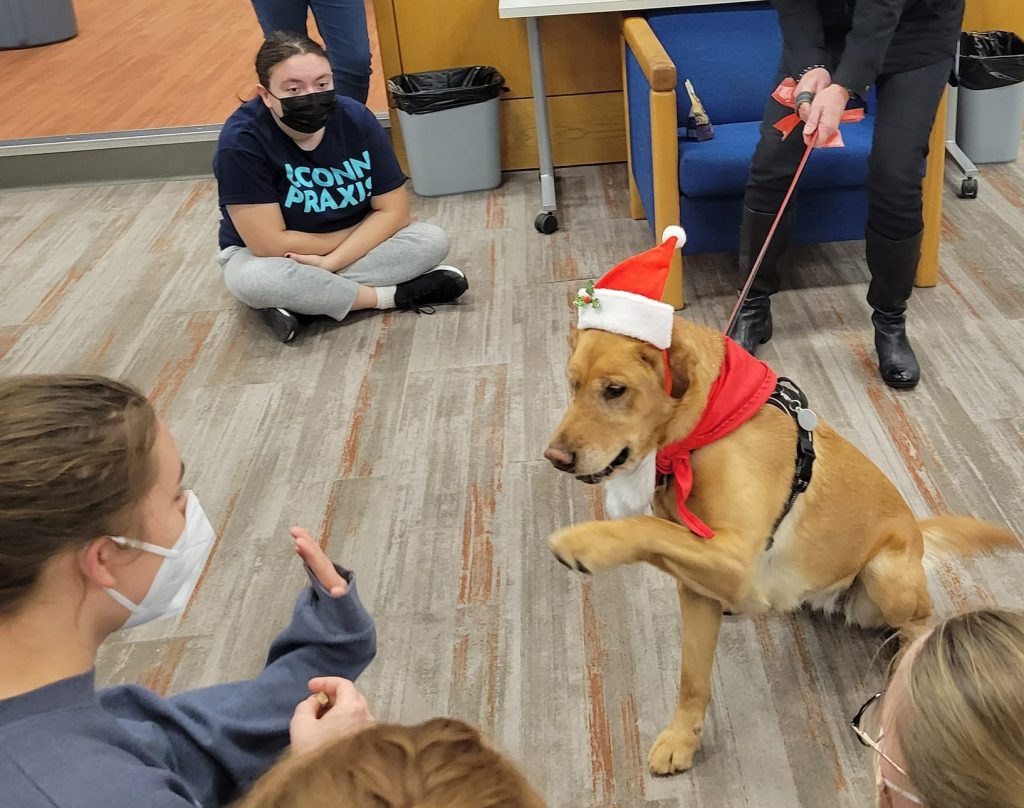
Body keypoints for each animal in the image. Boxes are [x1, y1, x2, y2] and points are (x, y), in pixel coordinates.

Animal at [544, 315, 1015, 774]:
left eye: (615, 390)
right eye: (572, 384)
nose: (555, 458)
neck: (709, 426)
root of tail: (916, 530)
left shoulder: (736, 559)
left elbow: (646, 527)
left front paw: (585, 541)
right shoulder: (697, 590)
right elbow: (691, 678)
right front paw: (682, 739)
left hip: (887, 575)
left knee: (920, 620)